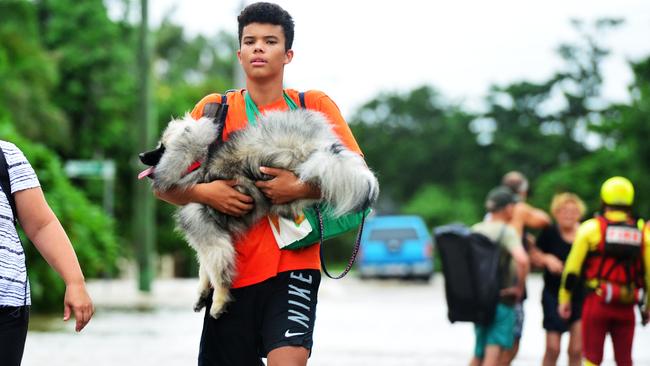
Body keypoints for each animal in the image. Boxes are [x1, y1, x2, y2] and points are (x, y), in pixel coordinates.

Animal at [139, 109, 378, 318]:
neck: (199, 163)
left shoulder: (210, 236)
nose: (141, 155)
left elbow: (218, 271)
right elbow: (204, 269)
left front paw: (218, 302)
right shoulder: (209, 238)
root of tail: (318, 145)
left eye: (162, 148)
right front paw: (202, 293)